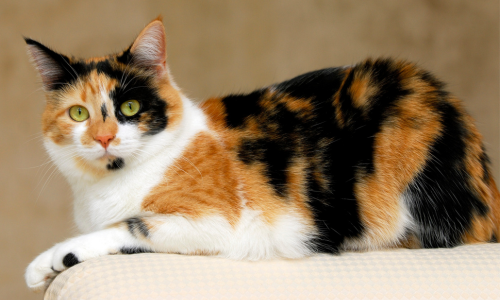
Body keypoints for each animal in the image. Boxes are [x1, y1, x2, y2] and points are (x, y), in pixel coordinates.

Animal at [25, 18, 498, 290]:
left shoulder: (223, 223)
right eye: (79, 113)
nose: (104, 138)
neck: (109, 185)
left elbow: (134, 225)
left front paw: (48, 259)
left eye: (129, 108)